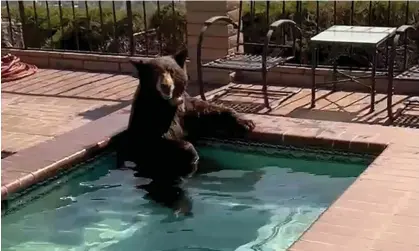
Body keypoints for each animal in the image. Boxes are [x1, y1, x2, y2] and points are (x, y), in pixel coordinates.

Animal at [118, 48, 256, 184]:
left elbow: (206, 111)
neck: (167, 103)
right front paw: (191, 153)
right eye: (155, 73)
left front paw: (246, 122)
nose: (166, 86)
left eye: (171, 71)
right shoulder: (148, 117)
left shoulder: (185, 108)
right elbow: (155, 140)